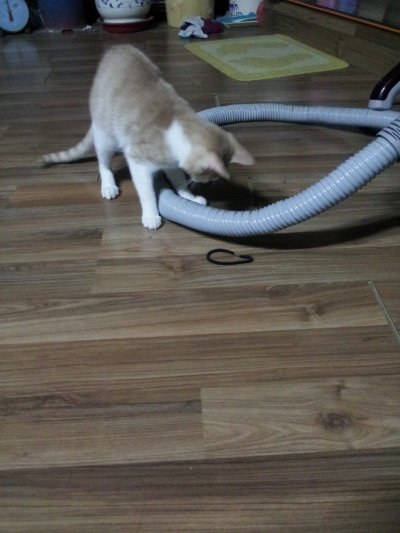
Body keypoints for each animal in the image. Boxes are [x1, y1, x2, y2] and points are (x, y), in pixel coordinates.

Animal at [39, 44, 254, 229]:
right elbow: (147, 193)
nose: (205, 183)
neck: (178, 126)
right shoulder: (138, 161)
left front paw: (189, 197)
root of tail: (117, 48)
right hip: (106, 135)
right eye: (208, 175)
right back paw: (108, 185)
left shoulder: (172, 163)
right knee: (103, 162)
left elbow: (177, 181)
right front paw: (151, 215)